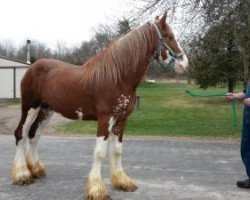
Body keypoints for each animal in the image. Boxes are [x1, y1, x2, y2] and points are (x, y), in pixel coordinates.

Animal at [11, 13, 188, 199]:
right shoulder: (105, 119)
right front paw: (96, 189)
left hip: (46, 110)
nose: (185, 63)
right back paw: (22, 174)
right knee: (21, 133)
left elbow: (117, 150)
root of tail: (32, 67)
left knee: (34, 135)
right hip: (30, 107)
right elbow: (100, 153)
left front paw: (122, 181)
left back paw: (36, 169)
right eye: (169, 36)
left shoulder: (122, 120)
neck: (118, 78)